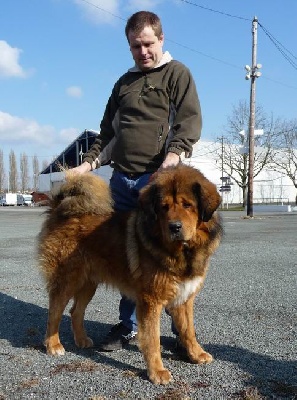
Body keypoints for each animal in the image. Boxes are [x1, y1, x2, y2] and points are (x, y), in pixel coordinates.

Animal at [37, 165, 221, 384]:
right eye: (164, 207)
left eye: (188, 205)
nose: (174, 227)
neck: (182, 252)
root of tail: (59, 209)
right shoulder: (150, 301)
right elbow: (152, 339)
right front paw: (157, 371)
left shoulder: (184, 297)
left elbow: (188, 330)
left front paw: (195, 354)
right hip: (67, 279)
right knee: (54, 312)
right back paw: (53, 345)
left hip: (89, 283)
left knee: (76, 311)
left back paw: (81, 340)